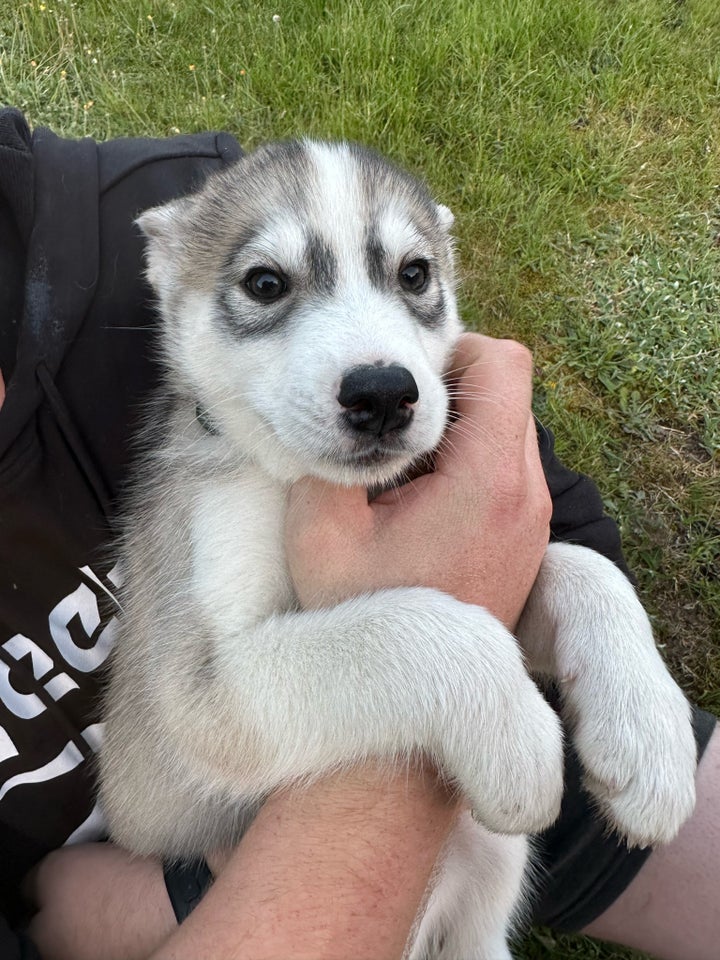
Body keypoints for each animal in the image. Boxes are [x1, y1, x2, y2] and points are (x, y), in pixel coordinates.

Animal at [100, 142, 696, 960]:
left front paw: (649, 736)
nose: (383, 392)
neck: (293, 480)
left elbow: (584, 567)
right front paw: (519, 737)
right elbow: (414, 626)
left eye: (414, 274)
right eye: (265, 283)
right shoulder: (189, 698)